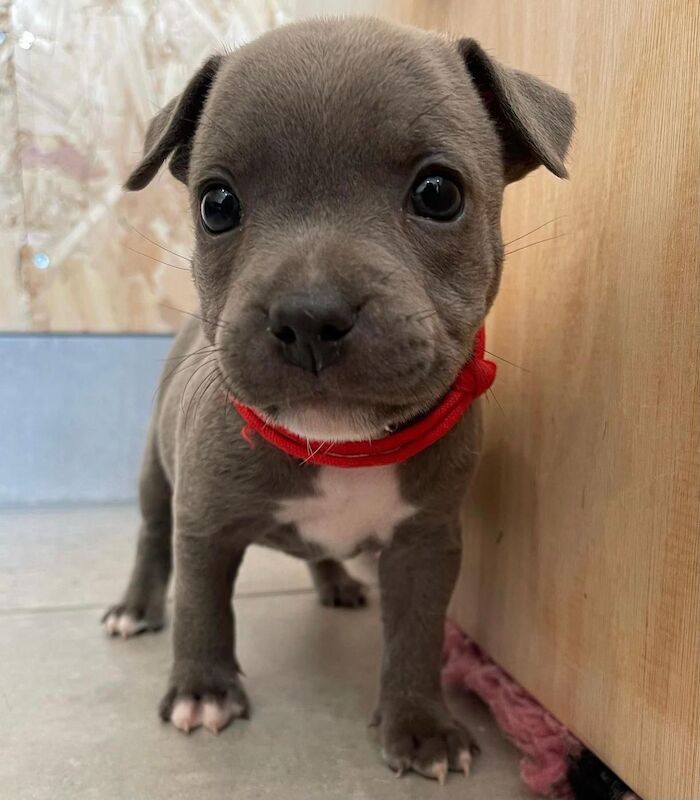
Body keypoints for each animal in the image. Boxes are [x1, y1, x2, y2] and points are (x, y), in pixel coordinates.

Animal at [104, 15, 576, 784]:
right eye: (217, 204)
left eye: (438, 193)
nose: (308, 314)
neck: (343, 445)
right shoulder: (203, 524)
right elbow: (204, 605)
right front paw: (203, 689)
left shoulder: (426, 547)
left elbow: (416, 636)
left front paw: (422, 725)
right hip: (155, 475)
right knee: (151, 537)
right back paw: (136, 606)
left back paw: (336, 583)